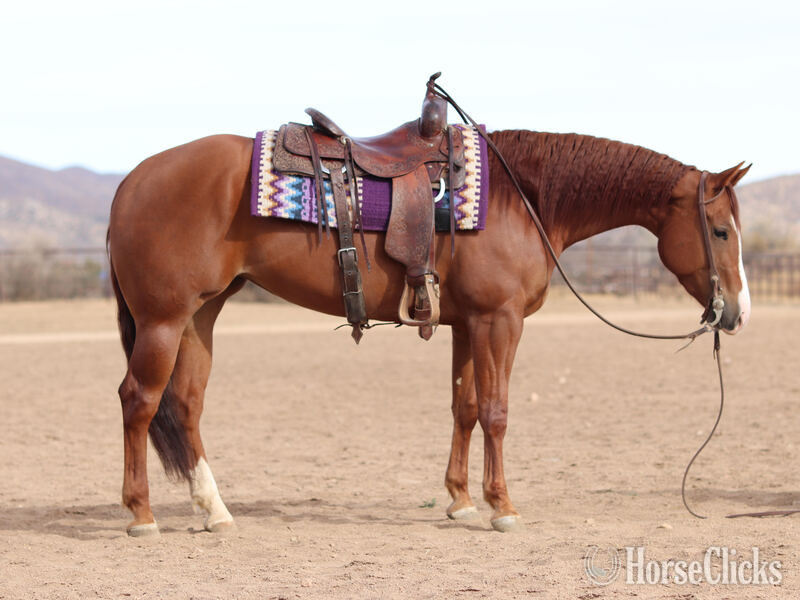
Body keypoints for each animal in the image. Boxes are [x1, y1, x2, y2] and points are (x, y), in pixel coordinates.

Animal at [107, 128, 751, 537]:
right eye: (720, 231)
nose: (736, 313)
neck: (520, 197)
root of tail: (133, 179)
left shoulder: (468, 324)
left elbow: (464, 408)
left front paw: (461, 502)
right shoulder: (499, 320)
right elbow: (496, 410)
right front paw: (502, 507)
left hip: (201, 316)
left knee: (186, 405)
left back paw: (213, 509)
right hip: (164, 321)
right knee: (139, 402)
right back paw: (141, 515)